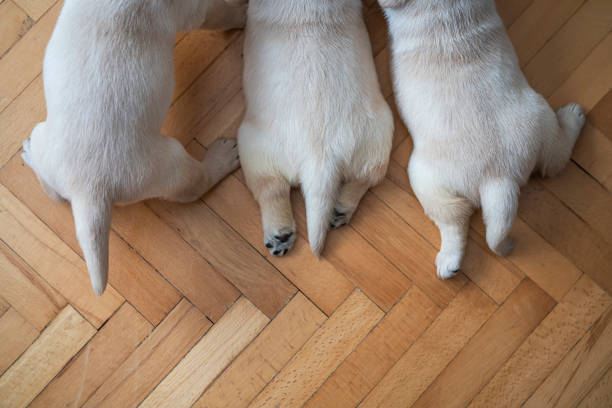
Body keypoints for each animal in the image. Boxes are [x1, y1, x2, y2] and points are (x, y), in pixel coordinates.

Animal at [22, 0, 246, 294]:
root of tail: (88, 192)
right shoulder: (199, 11)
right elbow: (223, 15)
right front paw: (244, 15)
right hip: (170, 165)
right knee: (197, 182)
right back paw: (221, 158)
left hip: (43, 137)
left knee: (53, 191)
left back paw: (29, 156)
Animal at [238, 0, 392, 255]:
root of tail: (320, 157)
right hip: (378, 132)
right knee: (366, 176)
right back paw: (340, 209)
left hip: (254, 144)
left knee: (271, 189)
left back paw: (279, 234)